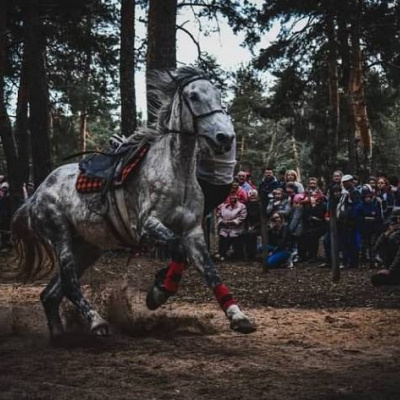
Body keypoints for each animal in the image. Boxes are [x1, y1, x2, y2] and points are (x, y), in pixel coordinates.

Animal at [12, 65, 258, 338]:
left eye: (218, 95)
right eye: (193, 96)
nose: (225, 137)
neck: (176, 172)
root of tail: (35, 196)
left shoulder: (193, 231)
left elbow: (211, 271)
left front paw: (238, 315)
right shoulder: (147, 226)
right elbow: (178, 249)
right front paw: (160, 291)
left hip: (87, 247)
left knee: (52, 293)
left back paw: (59, 334)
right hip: (60, 235)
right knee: (70, 282)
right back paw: (97, 322)